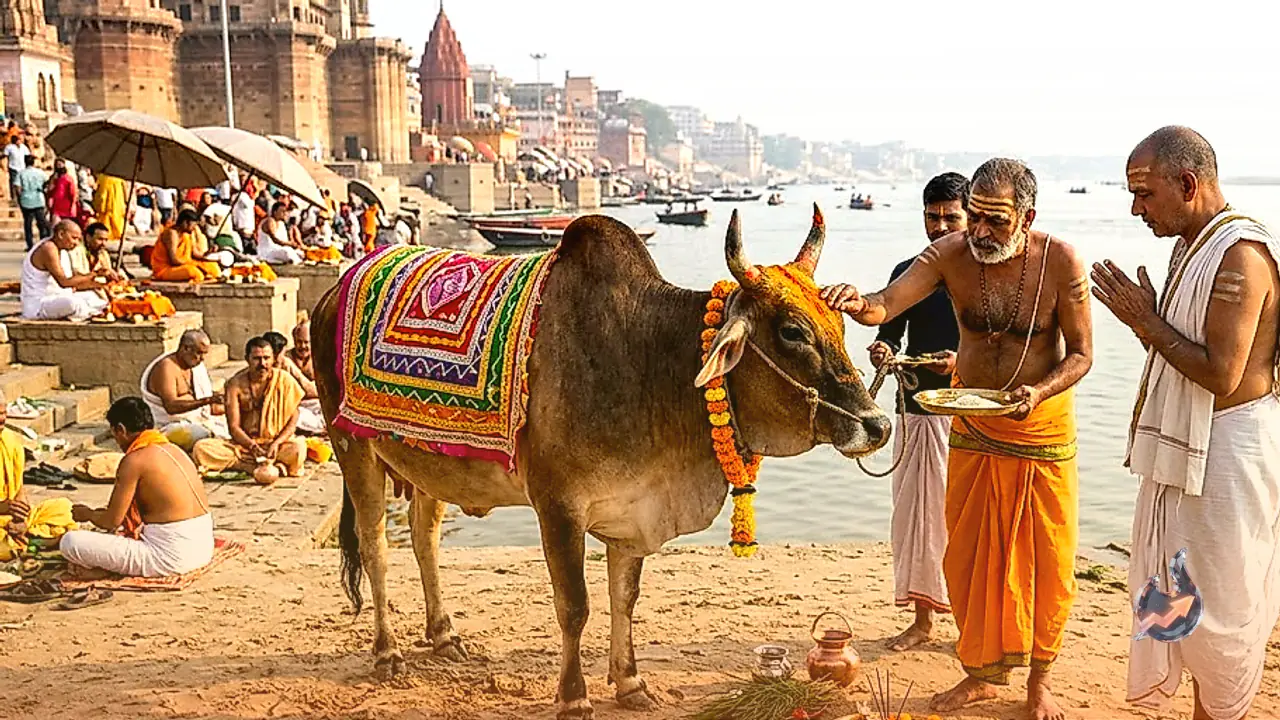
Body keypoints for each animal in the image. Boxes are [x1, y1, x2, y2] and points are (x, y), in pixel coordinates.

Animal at [312, 206, 892, 719]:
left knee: (424, 537)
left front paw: (630, 683)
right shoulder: (558, 507)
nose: (878, 425)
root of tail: (332, 292)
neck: (646, 356)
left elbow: (625, 597)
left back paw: (444, 636)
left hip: (430, 464)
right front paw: (574, 697)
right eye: (792, 331)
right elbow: (576, 606)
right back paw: (388, 652)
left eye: (840, 324)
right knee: (375, 546)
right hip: (352, 447)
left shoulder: (632, 509)